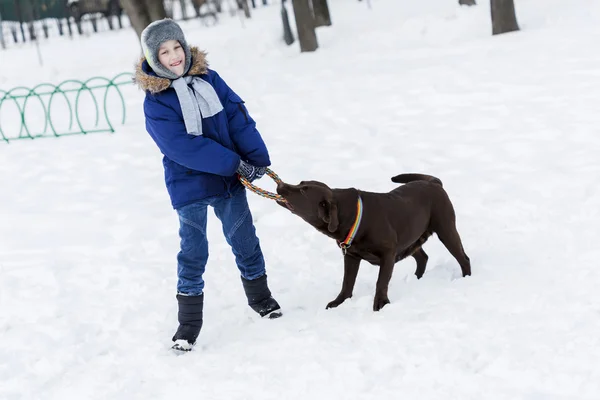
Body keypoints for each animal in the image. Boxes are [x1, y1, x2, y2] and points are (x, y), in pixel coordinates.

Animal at [274, 173, 472, 310]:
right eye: (300, 183)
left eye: (302, 191)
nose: (281, 185)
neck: (355, 217)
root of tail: (434, 182)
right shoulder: (351, 256)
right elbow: (347, 282)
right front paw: (339, 302)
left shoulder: (388, 254)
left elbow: (381, 282)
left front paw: (381, 304)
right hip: (410, 238)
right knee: (423, 257)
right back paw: (417, 279)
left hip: (445, 230)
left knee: (463, 258)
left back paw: (467, 278)